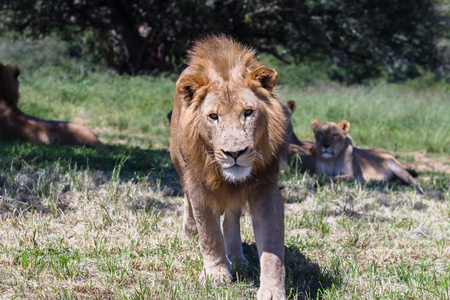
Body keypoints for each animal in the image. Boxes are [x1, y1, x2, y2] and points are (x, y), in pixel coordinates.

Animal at [171, 35, 286, 300]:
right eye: (213, 117)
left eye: (249, 112)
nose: (235, 153)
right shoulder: (199, 187)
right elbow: (210, 235)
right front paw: (216, 275)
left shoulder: (266, 188)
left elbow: (272, 248)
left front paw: (272, 290)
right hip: (178, 164)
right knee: (189, 202)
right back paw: (190, 232)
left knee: (231, 218)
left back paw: (236, 256)